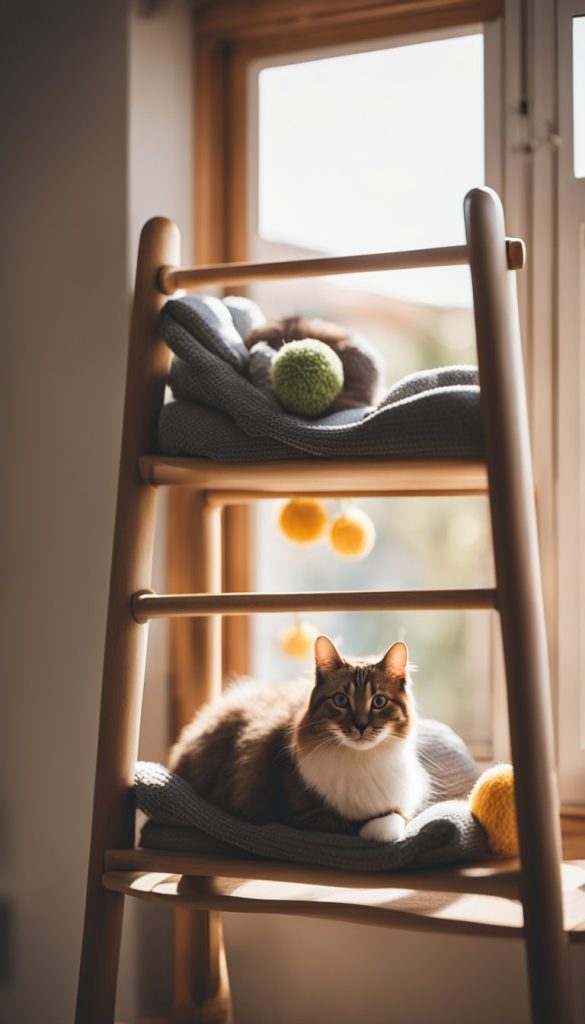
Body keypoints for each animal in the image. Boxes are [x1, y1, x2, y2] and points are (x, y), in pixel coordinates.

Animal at [169, 630, 430, 839]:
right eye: (341, 701)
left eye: (378, 701)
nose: (361, 726)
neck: (361, 760)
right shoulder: (303, 814)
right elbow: (360, 824)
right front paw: (378, 830)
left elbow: (396, 815)